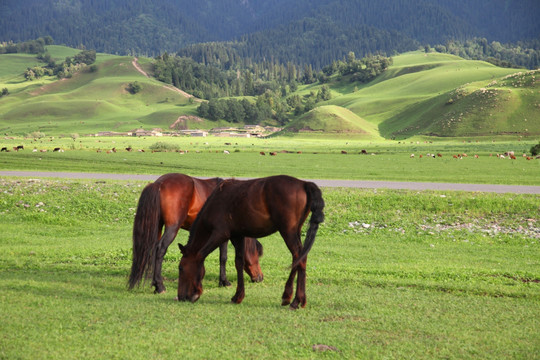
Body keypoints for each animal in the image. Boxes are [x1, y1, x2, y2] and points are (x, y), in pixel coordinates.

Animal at [129, 173, 264, 294]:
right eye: (257, 254)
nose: (260, 277)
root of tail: (159, 184)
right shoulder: (223, 234)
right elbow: (223, 257)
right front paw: (224, 281)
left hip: (158, 226)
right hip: (172, 228)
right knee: (160, 249)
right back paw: (160, 286)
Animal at [176, 174, 324, 310]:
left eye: (181, 268)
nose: (181, 297)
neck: (217, 200)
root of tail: (304, 183)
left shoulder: (220, 234)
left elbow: (201, 255)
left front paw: (197, 290)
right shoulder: (237, 236)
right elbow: (239, 262)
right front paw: (238, 296)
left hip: (288, 232)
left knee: (298, 257)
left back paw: (293, 299)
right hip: (295, 232)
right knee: (300, 257)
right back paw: (297, 299)